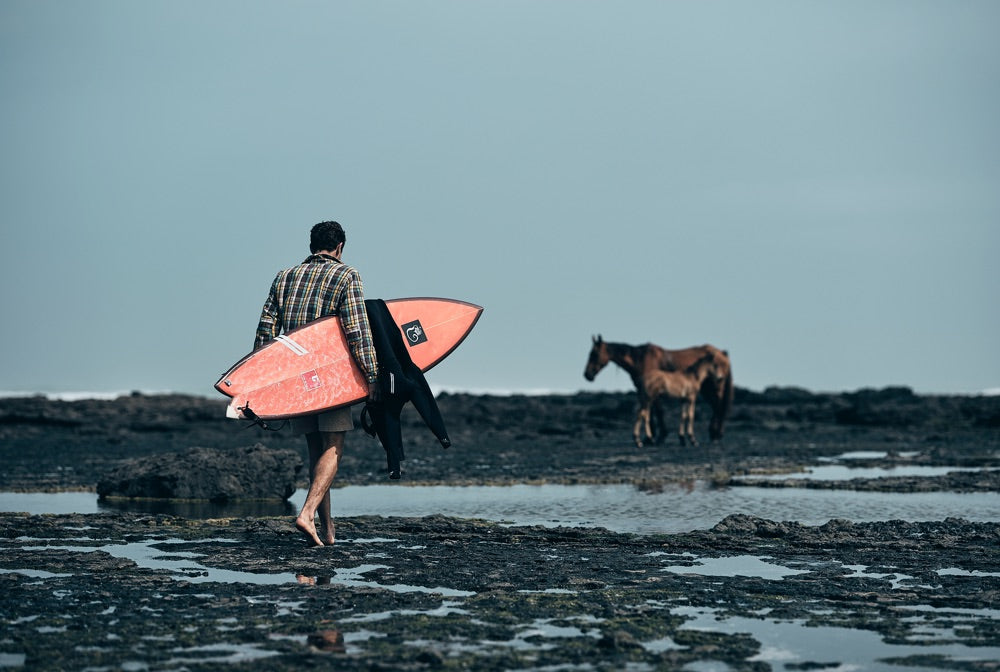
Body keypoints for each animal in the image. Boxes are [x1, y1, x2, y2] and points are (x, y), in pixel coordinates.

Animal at [584, 334, 736, 446]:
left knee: (718, 407)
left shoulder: (653, 393)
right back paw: (715, 433)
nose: (587, 375)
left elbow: (657, 412)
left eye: (594, 353)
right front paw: (650, 437)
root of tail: (722, 354)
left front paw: (658, 436)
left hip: (714, 388)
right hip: (706, 390)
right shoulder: (642, 391)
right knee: (717, 407)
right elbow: (649, 413)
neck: (639, 360)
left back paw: (716, 434)